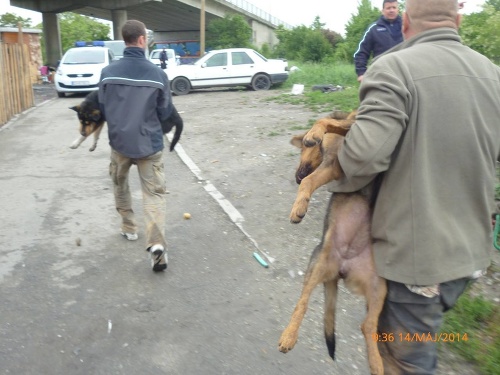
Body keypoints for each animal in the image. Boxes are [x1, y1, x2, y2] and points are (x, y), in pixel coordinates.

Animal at [278, 111, 386, 375]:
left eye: (300, 151)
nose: (296, 178)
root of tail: (341, 270)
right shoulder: (337, 164)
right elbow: (327, 122)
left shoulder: (337, 162)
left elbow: (330, 122)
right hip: (318, 264)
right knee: (302, 302)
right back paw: (289, 335)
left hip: (380, 287)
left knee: (367, 326)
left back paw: (376, 363)